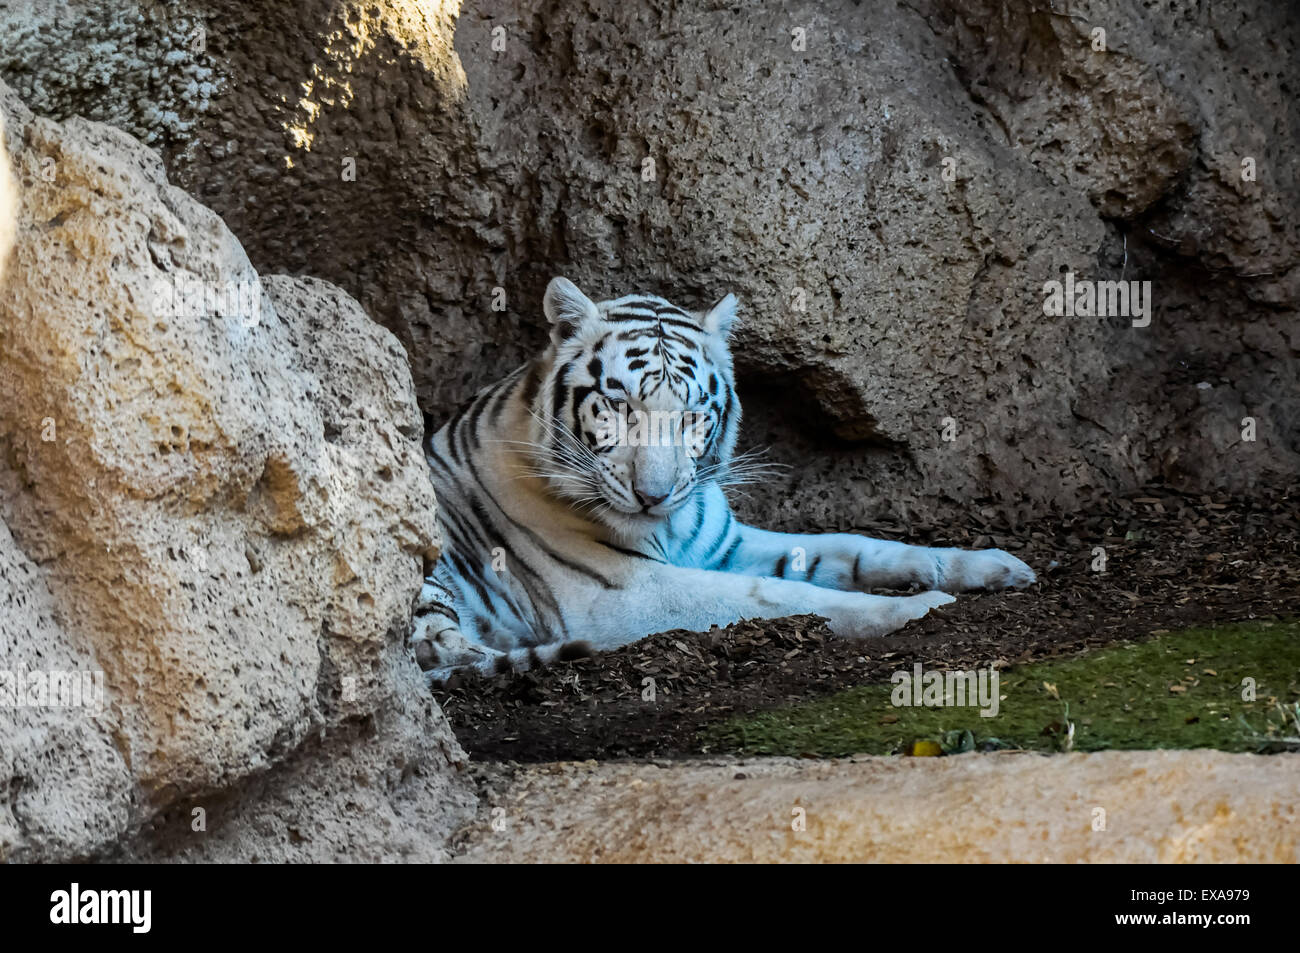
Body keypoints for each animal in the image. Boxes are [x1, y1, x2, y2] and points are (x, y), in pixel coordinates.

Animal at [410, 277, 1035, 683]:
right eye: (619, 407)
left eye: (691, 415)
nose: (653, 496)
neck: (669, 526)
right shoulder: (624, 594)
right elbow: (783, 597)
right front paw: (924, 607)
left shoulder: (723, 543)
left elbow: (853, 548)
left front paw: (991, 567)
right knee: (440, 659)